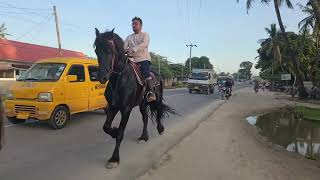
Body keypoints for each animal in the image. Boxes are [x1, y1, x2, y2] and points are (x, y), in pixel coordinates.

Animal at [94, 28, 175, 169]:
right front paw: (114, 131)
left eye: (110, 51)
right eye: (96, 51)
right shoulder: (113, 107)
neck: (120, 79)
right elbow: (106, 127)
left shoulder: (126, 109)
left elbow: (121, 133)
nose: (102, 77)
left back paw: (160, 129)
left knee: (159, 112)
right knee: (145, 118)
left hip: (157, 99)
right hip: (142, 104)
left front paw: (114, 159)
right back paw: (144, 137)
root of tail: (158, 75)